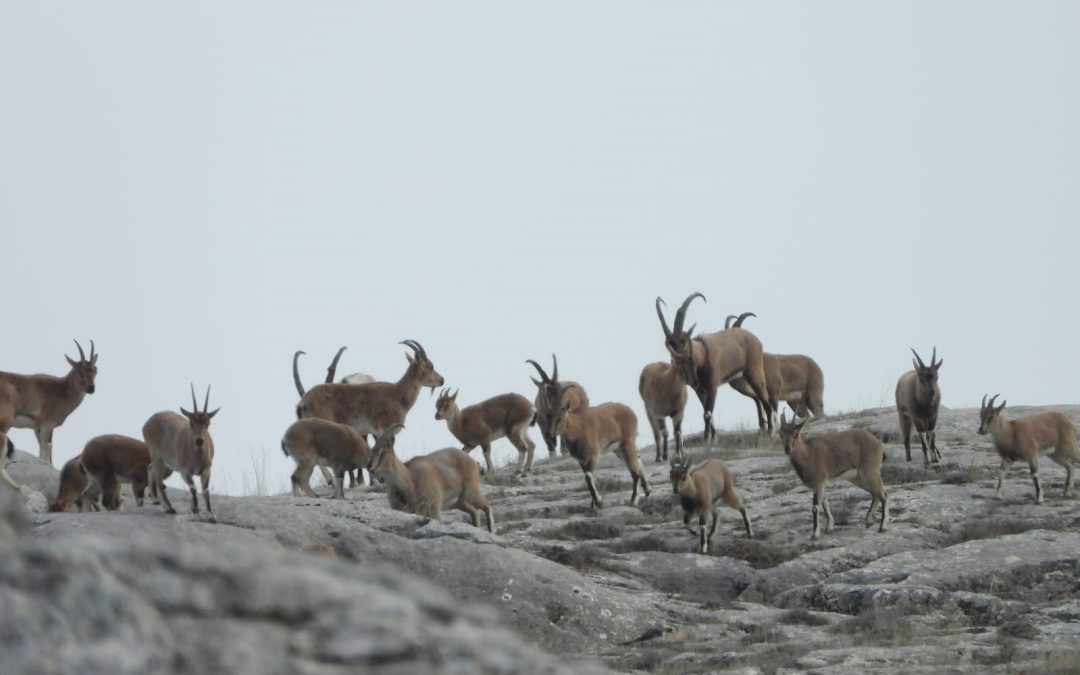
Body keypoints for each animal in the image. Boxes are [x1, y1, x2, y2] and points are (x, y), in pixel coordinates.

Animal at [143, 384, 219, 520]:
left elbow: (205, 490)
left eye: (208, 423)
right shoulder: (185, 472)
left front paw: (211, 515)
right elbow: (193, 489)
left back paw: (155, 500)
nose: (199, 440)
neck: (197, 456)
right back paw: (169, 508)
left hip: (165, 463)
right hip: (158, 458)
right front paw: (195, 511)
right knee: (158, 480)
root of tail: (147, 424)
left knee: (150, 468)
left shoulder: (206, 470)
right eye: (191, 422)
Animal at [531, 356, 648, 507]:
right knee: (637, 460)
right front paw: (594, 503)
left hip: (627, 442)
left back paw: (633, 500)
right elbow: (588, 477)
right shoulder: (582, 460)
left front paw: (598, 502)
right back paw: (647, 490)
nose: (548, 434)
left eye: (560, 417)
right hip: (618, 449)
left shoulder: (593, 456)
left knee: (634, 470)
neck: (576, 429)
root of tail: (631, 411)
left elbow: (588, 477)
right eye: (548, 415)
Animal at [652, 293, 773, 436]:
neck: (702, 357)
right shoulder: (699, 390)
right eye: (668, 344)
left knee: (766, 400)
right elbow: (708, 414)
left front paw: (707, 438)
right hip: (738, 382)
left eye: (682, 341)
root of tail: (756, 340)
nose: (676, 361)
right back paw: (762, 427)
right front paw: (713, 436)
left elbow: (707, 414)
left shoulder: (712, 386)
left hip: (754, 372)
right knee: (756, 397)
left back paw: (770, 431)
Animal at [781, 408, 889, 540]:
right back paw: (869, 521)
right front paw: (829, 527)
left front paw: (815, 534)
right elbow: (825, 502)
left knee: (883, 495)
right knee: (876, 493)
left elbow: (815, 507)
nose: (787, 449)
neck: (808, 454)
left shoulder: (819, 482)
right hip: (858, 477)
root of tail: (878, 443)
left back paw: (883, 526)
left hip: (870, 471)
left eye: (795, 433)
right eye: (781, 433)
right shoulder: (820, 485)